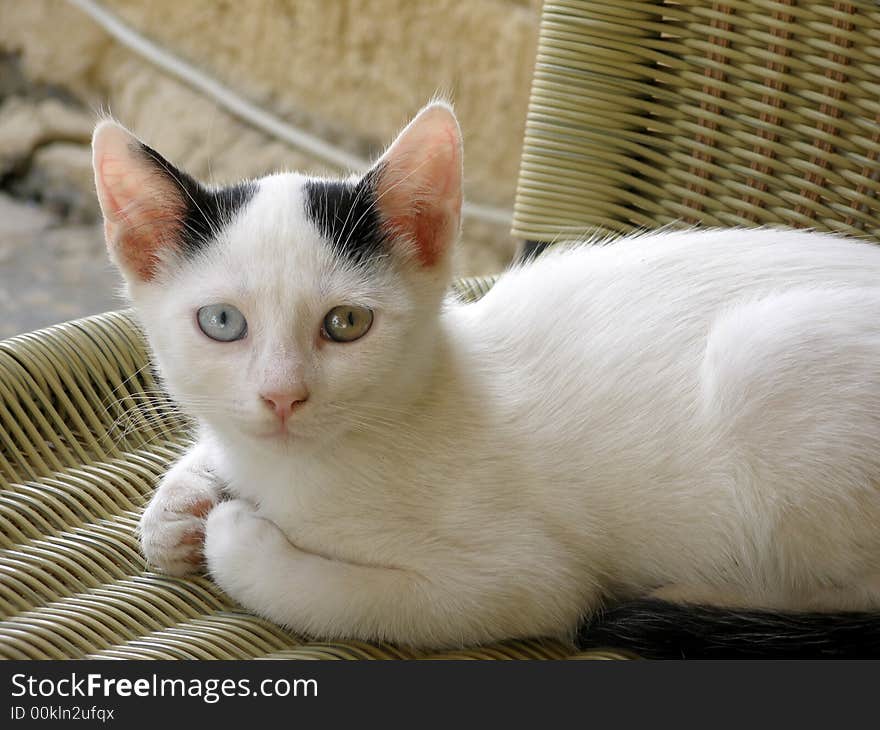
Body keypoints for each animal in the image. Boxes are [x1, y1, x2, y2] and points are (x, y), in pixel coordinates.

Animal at [91, 102, 880, 656]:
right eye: (223, 321)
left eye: (346, 323)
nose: (284, 396)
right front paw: (178, 508)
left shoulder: (521, 579)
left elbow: (347, 596)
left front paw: (233, 538)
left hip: (771, 352)